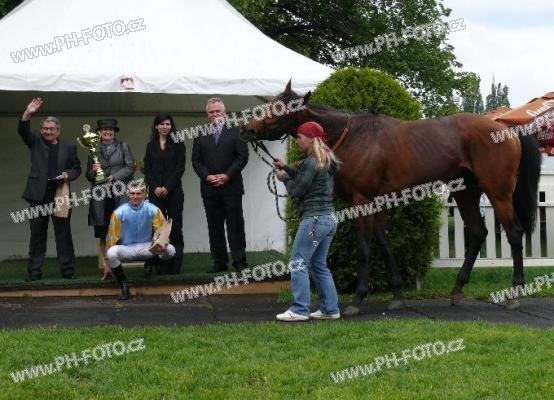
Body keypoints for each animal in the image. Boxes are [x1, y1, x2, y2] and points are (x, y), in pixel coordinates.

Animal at [240, 81, 541, 314]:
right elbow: (384, 243)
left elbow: (364, 247)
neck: (353, 137)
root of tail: (506, 127)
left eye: (278, 108)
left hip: (498, 191)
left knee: (514, 234)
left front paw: (358, 298)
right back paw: (457, 289)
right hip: (466, 191)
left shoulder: (362, 200)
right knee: (478, 233)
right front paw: (397, 294)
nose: (248, 129)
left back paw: (515, 293)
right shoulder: (378, 201)